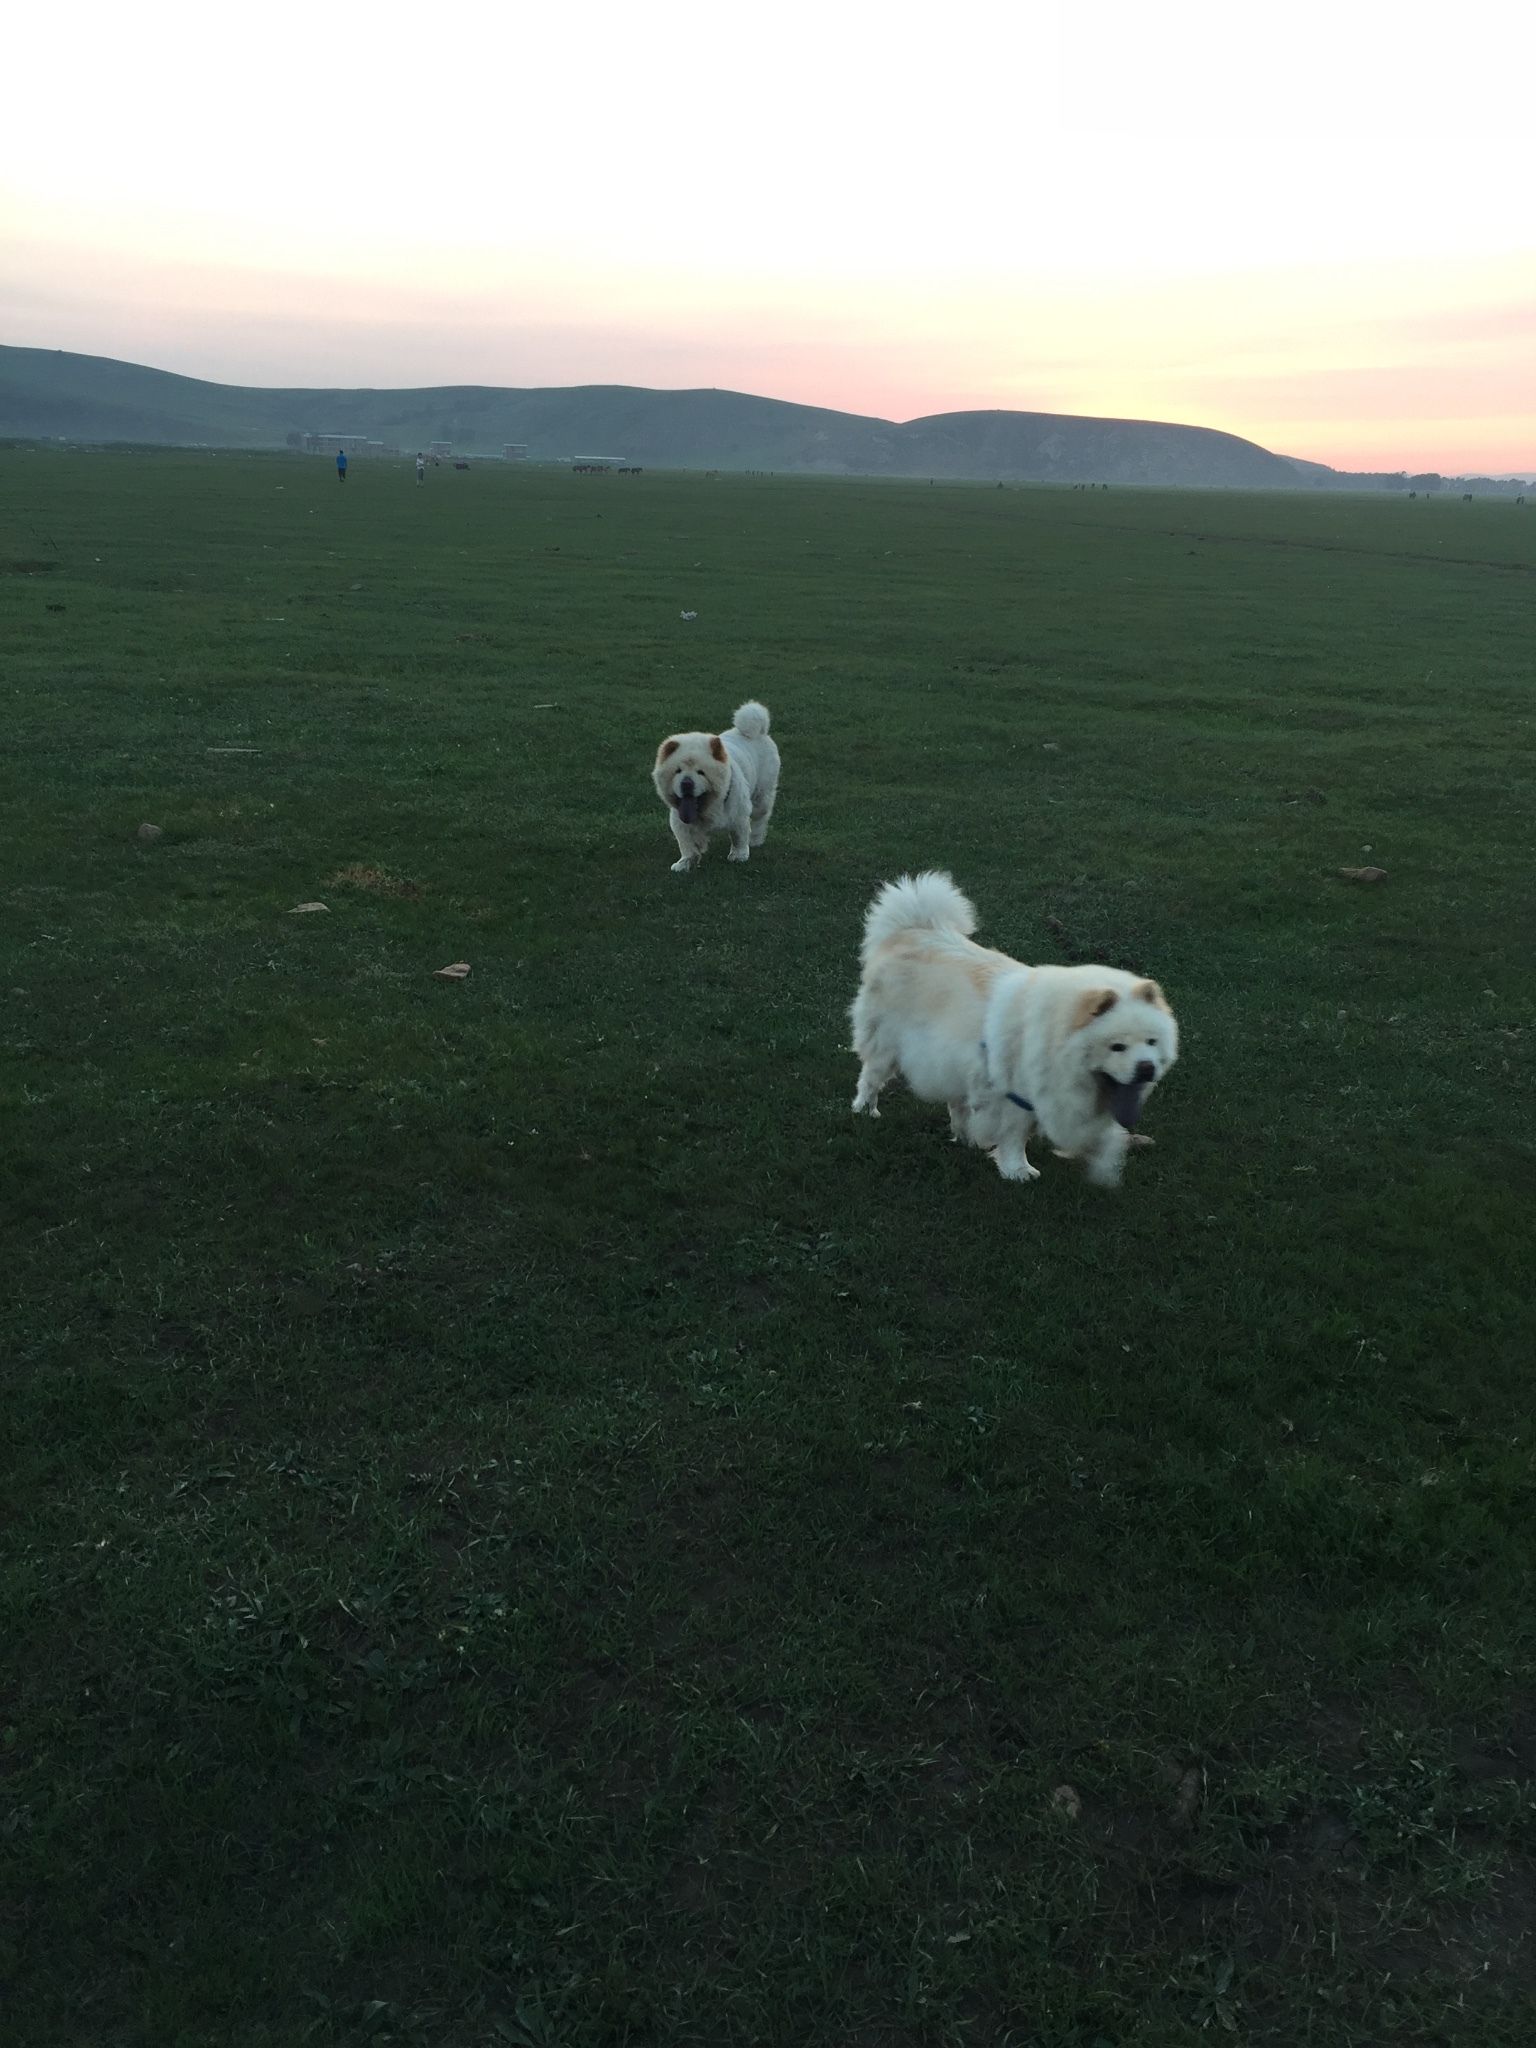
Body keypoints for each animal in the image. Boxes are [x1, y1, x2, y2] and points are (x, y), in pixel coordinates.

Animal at [655, 704, 786, 872]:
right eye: (677, 771)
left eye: (701, 772)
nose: (686, 783)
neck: (707, 807)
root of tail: (756, 733)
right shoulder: (680, 820)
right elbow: (686, 844)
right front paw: (685, 863)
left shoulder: (738, 814)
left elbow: (739, 837)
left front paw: (739, 856)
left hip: (761, 796)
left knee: (760, 818)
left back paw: (755, 840)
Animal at [847, 872, 1187, 1196]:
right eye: (1117, 1047)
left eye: (1152, 1043)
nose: (1146, 1068)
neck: (1059, 1039)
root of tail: (911, 928)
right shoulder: (1016, 1097)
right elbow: (1015, 1137)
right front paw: (1018, 1171)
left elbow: (1108, 1136)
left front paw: (1107, 1168)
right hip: (888, 1046)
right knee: (870, 1077)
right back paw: (865, 1110)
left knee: (956, 1103)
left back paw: (965, 1137)